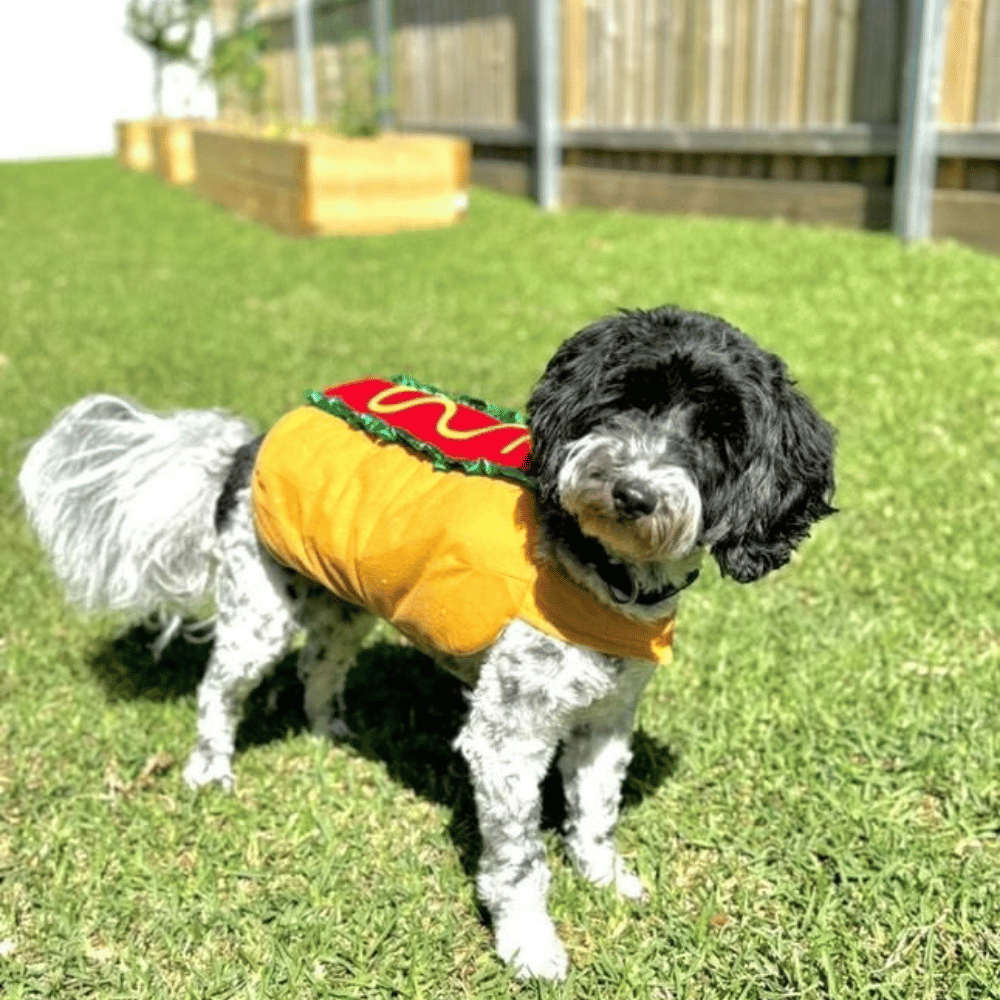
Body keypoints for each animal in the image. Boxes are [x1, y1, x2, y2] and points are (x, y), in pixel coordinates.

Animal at [17, 304, 836, 976]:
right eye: (626, 398)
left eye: (720, 434)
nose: (631, 492)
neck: (599, 570)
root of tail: (249, 443)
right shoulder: (508, 738)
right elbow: (519, 860)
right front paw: (530, 945)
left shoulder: (605, 720)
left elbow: (597, 815)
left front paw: (607, 881)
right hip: (260, 608)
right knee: (219, 691)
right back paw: (209, 771)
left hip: (343, 606)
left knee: (319, 668)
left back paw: (331, 730)